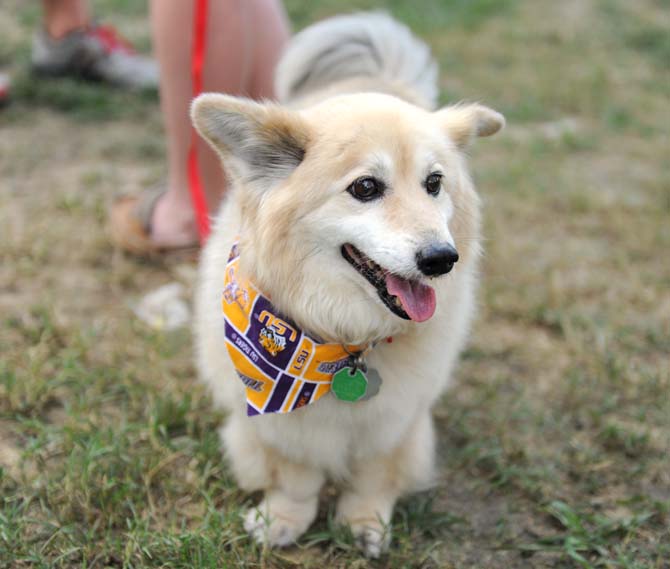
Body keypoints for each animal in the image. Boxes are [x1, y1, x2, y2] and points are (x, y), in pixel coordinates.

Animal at [189, 11, 504, 556]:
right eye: (365, 187)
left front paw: (364, 524)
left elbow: (374, 478)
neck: (344, 340)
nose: (442, 259)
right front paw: (283, 521)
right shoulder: (277, 421)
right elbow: (295, 479)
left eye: (434, 183)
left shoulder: (395, 422)